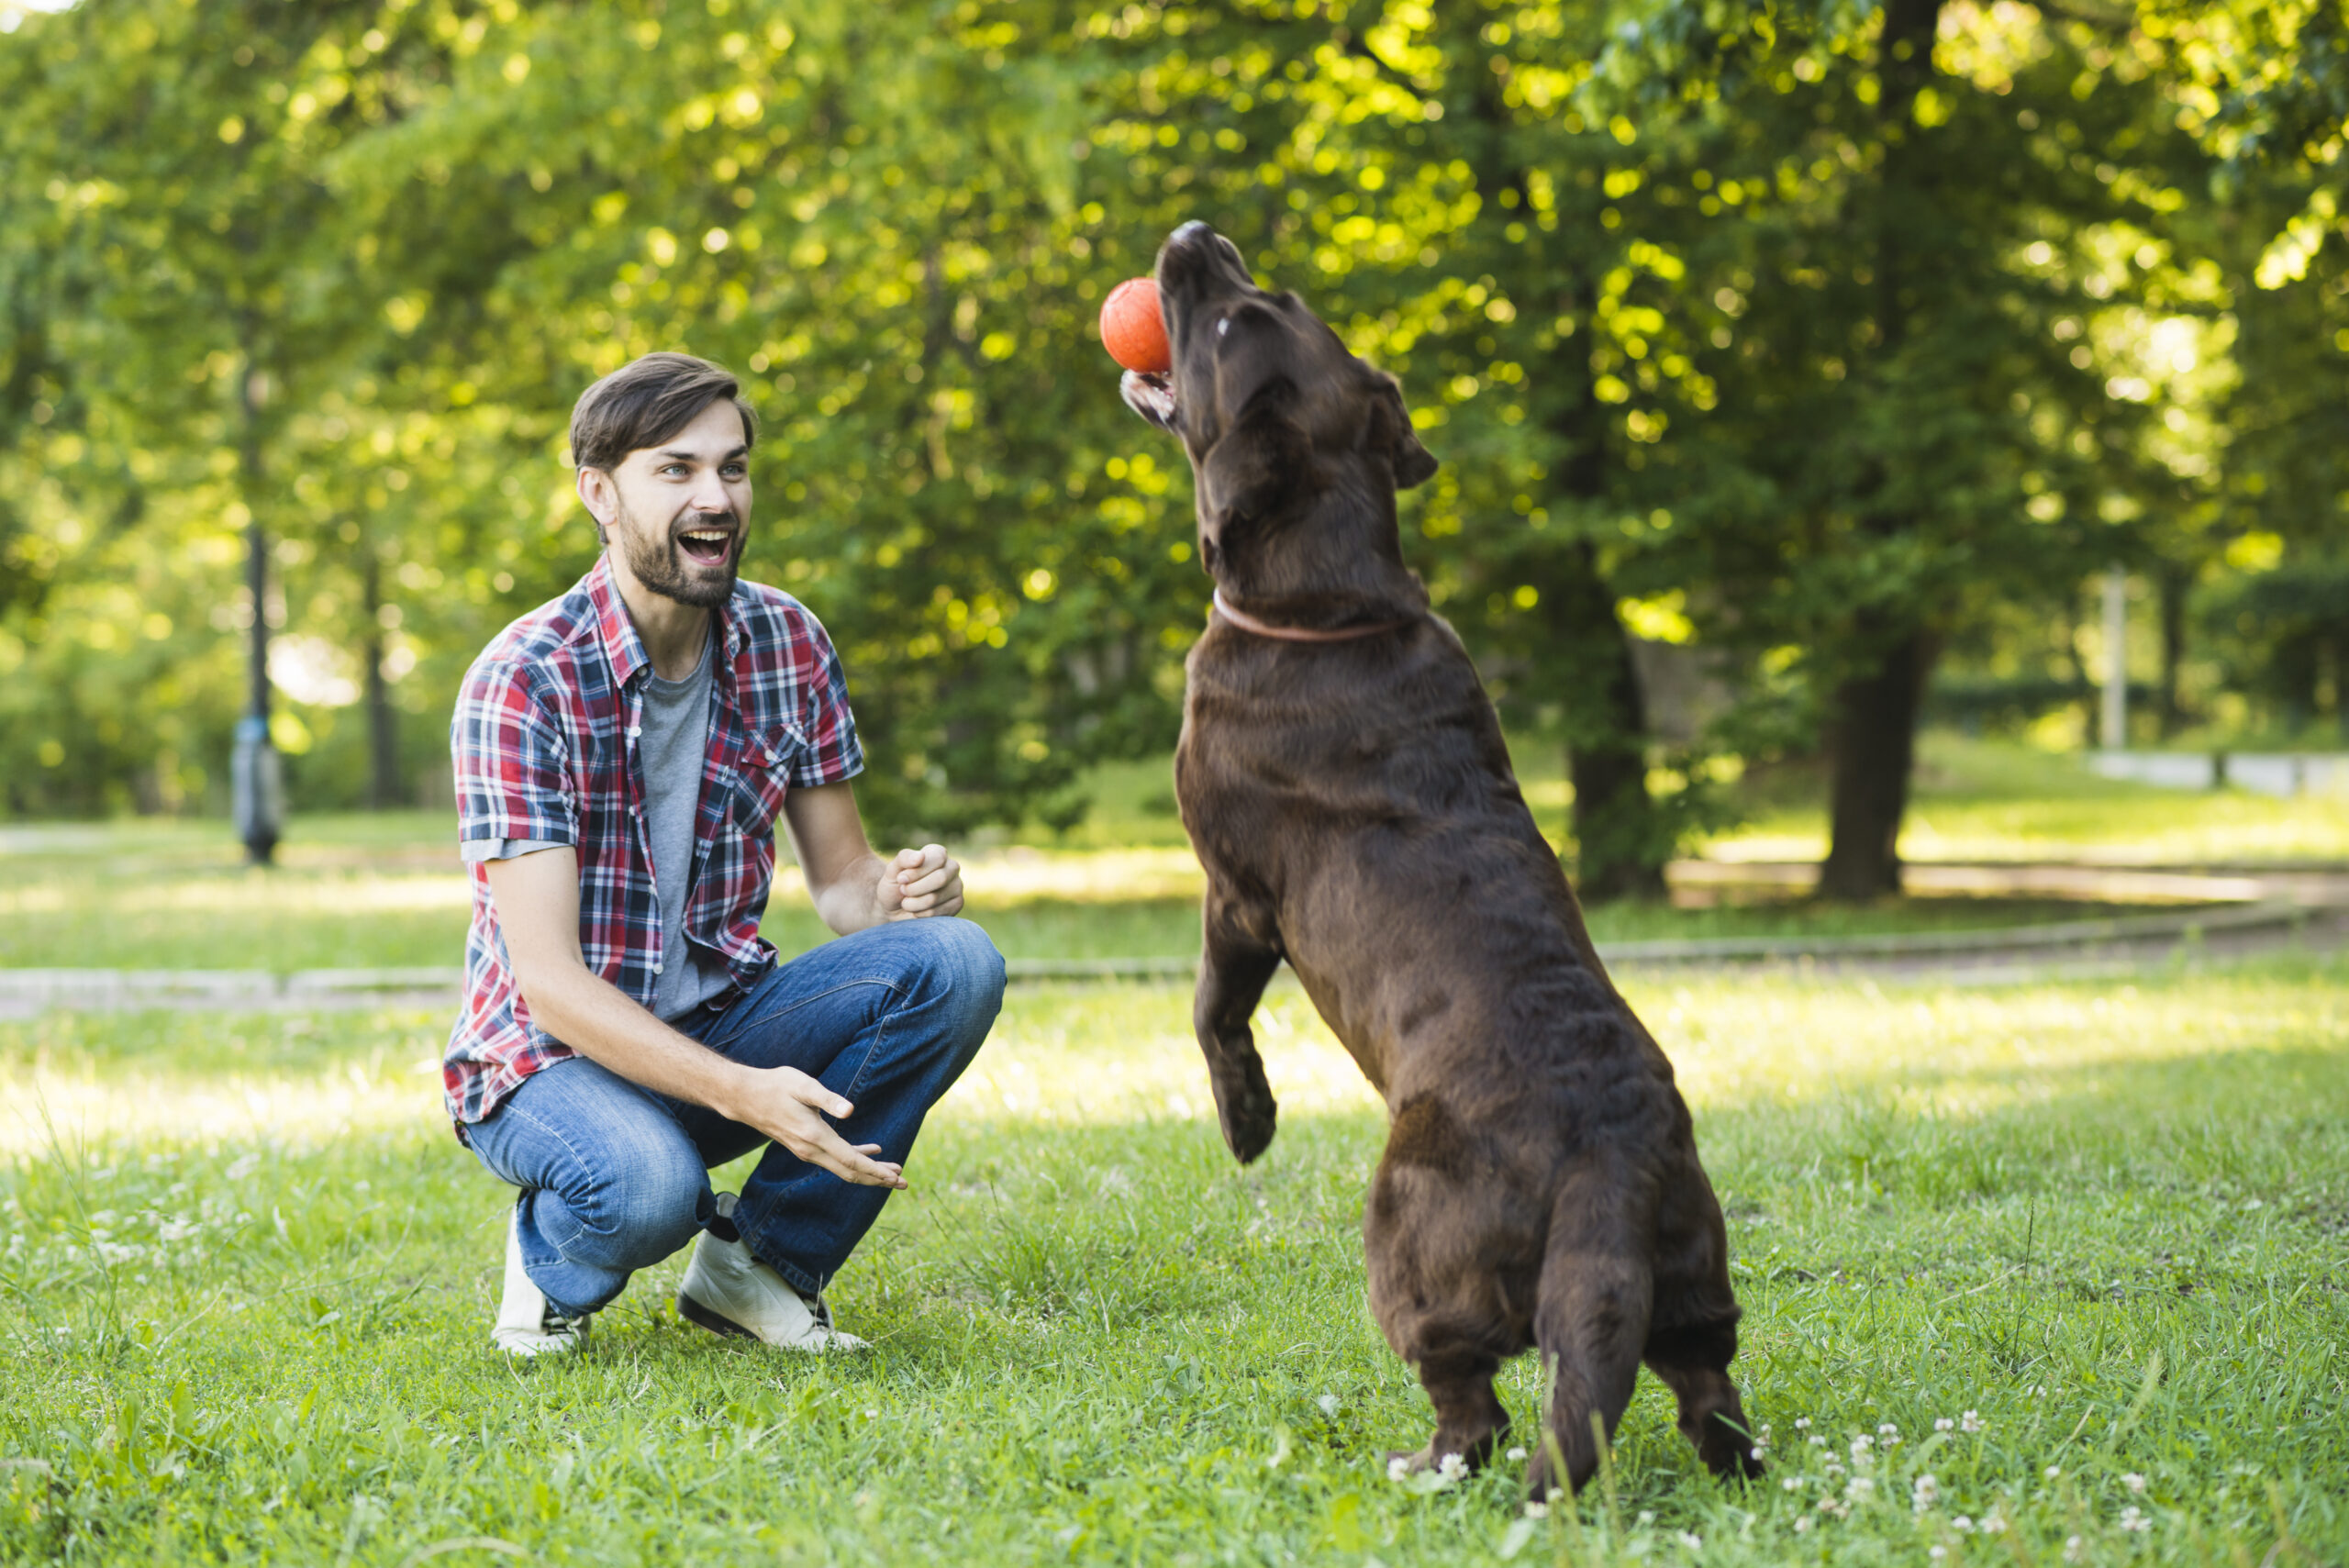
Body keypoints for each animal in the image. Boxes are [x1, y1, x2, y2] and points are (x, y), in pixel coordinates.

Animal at [1122, 223, 1766, 1493]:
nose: (1194, 235)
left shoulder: (1236, 894)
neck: (1329, 603)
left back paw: (1421, 1461)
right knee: (1703, 1389)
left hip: (1408, 1236)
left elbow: (1213, 1011)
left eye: (1224, 320)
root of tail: (1609, 1161)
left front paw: (1246, 1121)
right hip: (1692, 1270)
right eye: (1266, 292)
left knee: (1475, 1403)